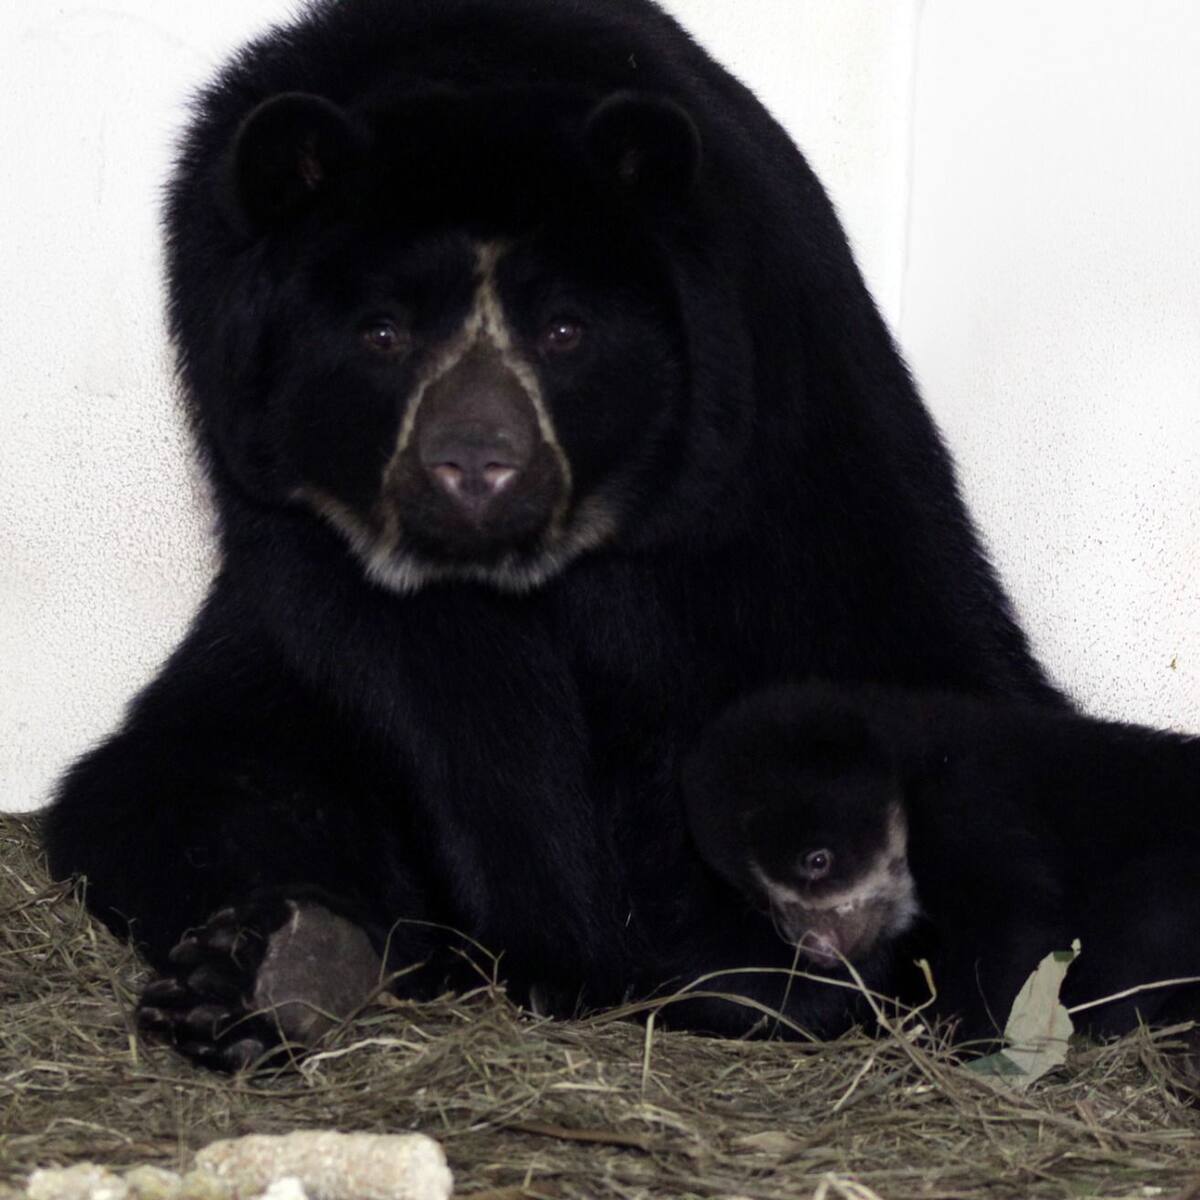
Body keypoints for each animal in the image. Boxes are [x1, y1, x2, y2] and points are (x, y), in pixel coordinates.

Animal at [43, 0, 1062, 1071]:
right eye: (382, 334)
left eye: (563, 332)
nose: (476, 465)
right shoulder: (287, 487)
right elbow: (448, 709)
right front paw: (562, 951)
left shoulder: (758, 437)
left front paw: (747, 971)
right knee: (172, 783)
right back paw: (266, 969)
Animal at [682, 681, 1200, 1046]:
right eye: (761, 900)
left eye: (817, 860)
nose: (818, 949)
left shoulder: (967, 802)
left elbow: (1018, 921)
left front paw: (947, 1039)